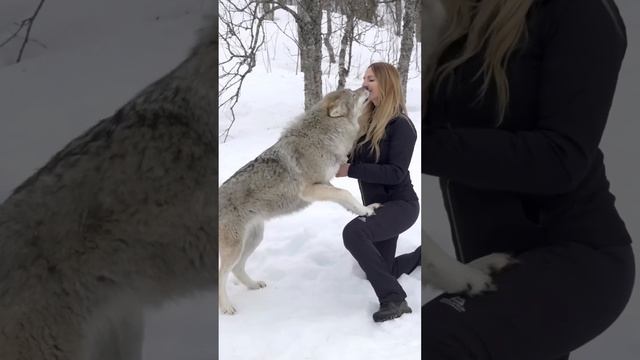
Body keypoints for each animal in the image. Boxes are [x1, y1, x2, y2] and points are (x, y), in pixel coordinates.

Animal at [218, 86, 378, 314]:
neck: (324, 135)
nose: (365, 87)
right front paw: (364, 210)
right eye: (353, 94)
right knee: (222, 274)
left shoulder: (326, 183)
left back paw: (253, 285)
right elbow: (345, 193)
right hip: (235, 248)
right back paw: (227, 307)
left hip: (255, 238)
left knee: (238, 269)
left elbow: (346, 198)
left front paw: (365, 210)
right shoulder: (311, 190)